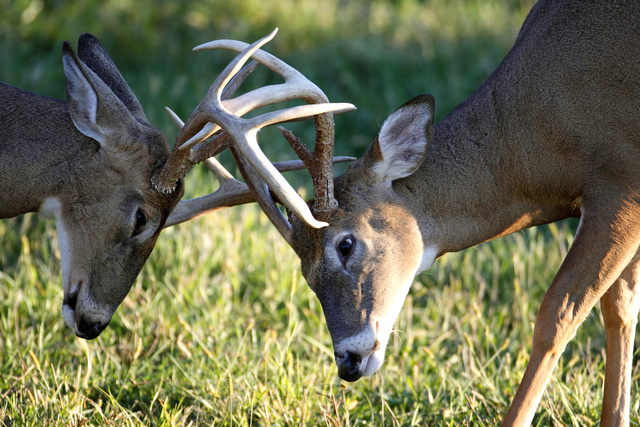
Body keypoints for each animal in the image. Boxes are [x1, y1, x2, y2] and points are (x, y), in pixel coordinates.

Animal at [155, 0, 640, 425]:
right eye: (305, 273)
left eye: (345, 244)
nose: (348, 362)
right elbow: (620, 308)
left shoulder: (619, 183)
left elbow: (557, 315)